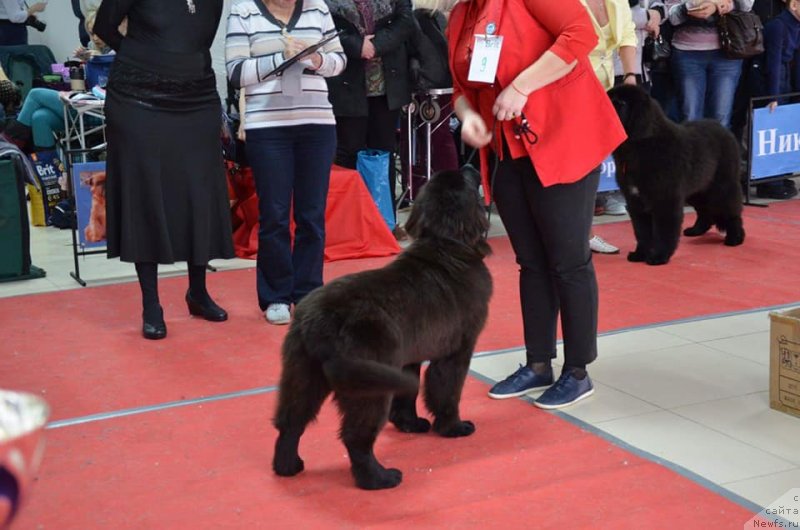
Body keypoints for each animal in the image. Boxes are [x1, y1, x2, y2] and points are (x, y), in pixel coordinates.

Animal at [272, 168, 490, 486]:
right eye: (467, 180)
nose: (473, 168)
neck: (448, 246)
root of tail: (318, 322)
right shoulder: (457, 350)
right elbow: (447, 390)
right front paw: (453, 427)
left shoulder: (408, 358)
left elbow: (408, 394)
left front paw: (410, 424)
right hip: (368, 380)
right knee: (356, 438)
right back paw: (379, 478)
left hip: (303, 373)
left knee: (290, 423)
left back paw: (287, 466)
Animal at [608, 84, 748, 264]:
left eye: (621, 103)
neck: (641, 146)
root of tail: (725, 130)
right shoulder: (635, 200)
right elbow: (642, 232)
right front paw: (640, 254)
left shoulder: (665, 198)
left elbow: (664, 231)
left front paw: (659, 256)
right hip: (698, 189)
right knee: (704, 211)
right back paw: (696, 230)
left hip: (722, 186)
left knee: (731, 210)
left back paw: (735, 238)